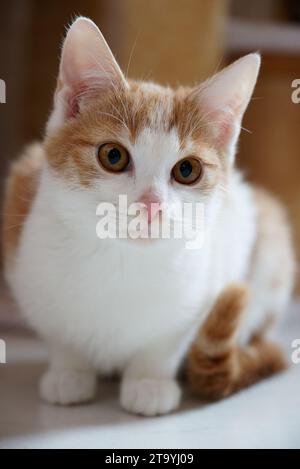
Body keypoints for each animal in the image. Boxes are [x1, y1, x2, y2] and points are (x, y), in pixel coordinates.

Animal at [1, 16, 294, 414]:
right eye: (113, 156)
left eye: (187, 170)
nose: (151, 204)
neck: (123, 260)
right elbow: (59, 332)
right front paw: (69, 371)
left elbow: (166, 341)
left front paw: (149, 381)